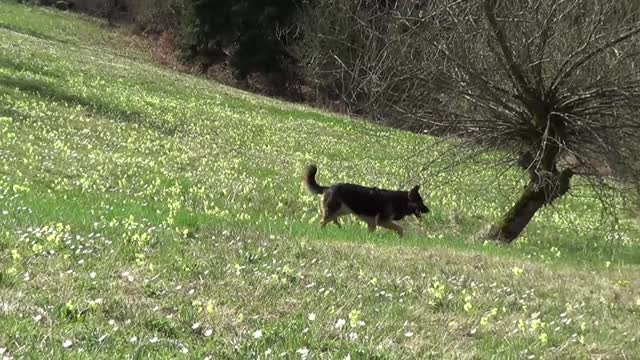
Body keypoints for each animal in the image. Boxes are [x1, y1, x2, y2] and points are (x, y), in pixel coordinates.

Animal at [302, 164, 430, 236]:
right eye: (421, 202)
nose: (429, 210)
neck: (401, 201)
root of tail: (328, 187)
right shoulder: (383, 221)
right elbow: (400, 228)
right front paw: (401, 238)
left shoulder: (372, 224)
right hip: (333, 211)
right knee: (322, 222)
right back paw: (322, 232)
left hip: (339, 211)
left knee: (332, 220)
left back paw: (338, 227)